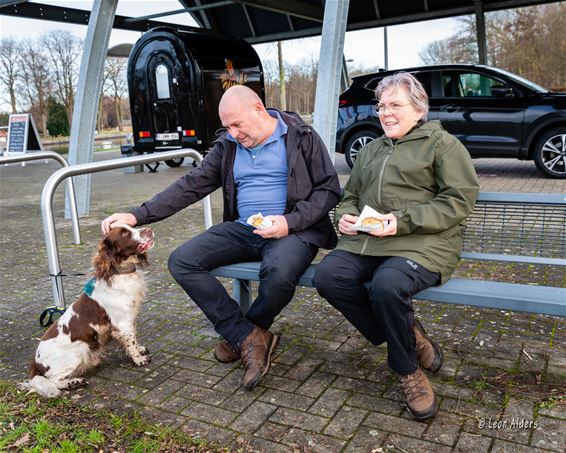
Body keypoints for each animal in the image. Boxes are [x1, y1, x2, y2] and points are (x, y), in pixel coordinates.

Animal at [18, 225, 154, 396]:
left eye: (131, 227)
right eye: (124, 233)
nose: (149, 230)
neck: (121, 273)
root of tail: (35, 364)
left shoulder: (130, 318)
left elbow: (133, 338)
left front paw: (140, 350)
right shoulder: (122, 322)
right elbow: (131, 341)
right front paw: (139, 359)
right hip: (76, 354)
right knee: (53, 380)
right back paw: (74, 382)